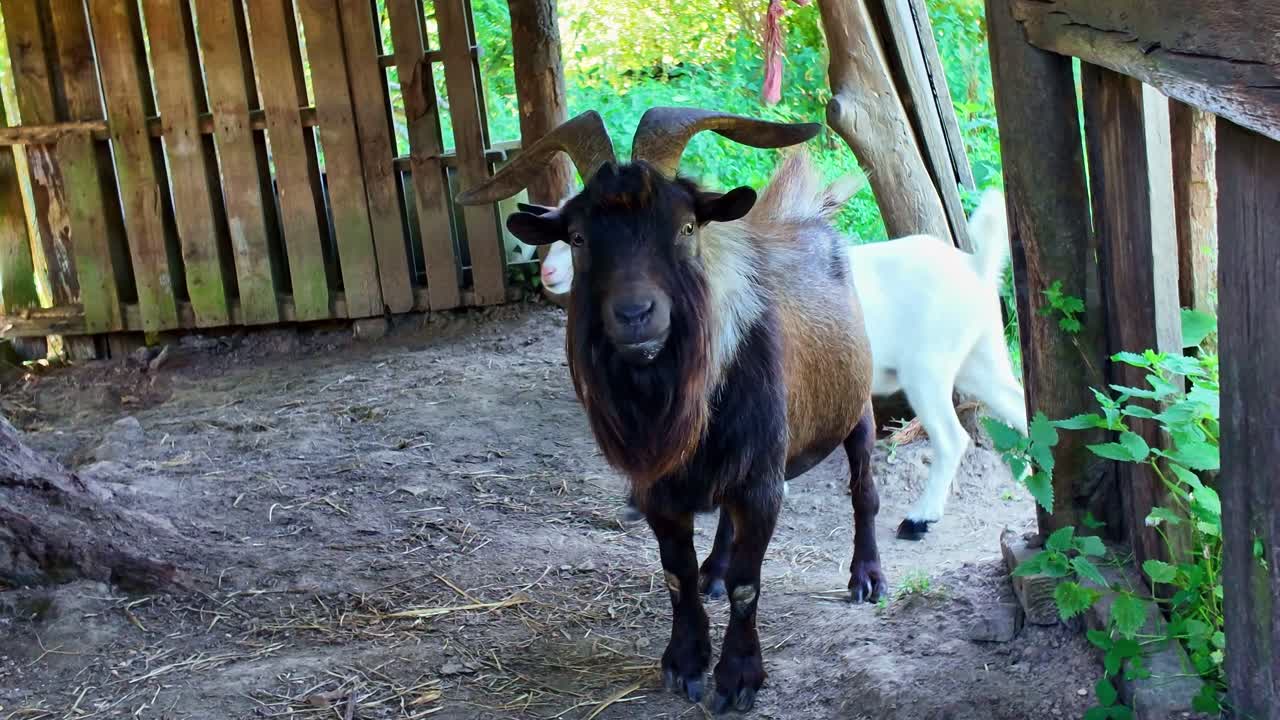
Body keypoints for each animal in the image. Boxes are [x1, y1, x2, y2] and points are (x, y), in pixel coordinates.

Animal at [457, 108, 884, 714]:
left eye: (685, 228)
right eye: (579, 238)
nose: (635, 314)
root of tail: (812, 215)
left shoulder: (763, 482)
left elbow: (749, 584)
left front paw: (738, 678)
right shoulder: (657, 487)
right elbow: (675, 575)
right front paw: (684, 662)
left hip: (858, 409)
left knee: (864, 489)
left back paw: (867, 577)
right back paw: (716, 569)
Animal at [539, 183, 1027, 540]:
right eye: (571, 234)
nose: (547, 272)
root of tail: (975, 267)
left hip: (928, 369)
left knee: (952, 437)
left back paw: (919, 519)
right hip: (981, 357)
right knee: (1021, 406)